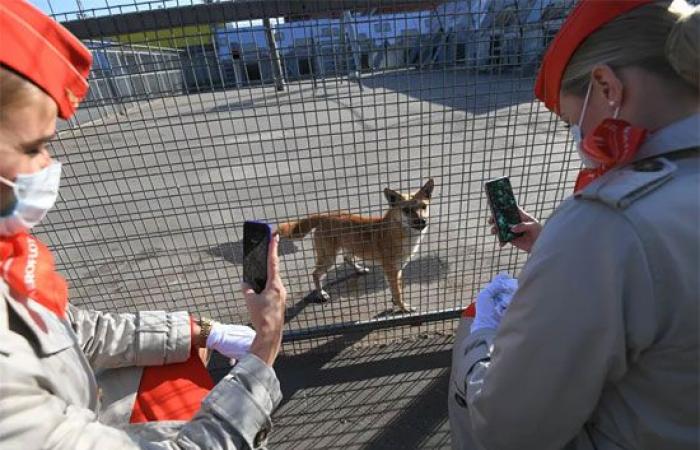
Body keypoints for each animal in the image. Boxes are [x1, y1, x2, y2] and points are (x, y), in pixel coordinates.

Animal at [278, 178, 432, 312]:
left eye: (424, 207)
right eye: (406, 210)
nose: (422, 221)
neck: (400, 232)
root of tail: (326, 215)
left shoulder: (397, 270)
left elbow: (397, 290)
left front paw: (396, 302)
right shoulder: (391, 271)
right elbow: (397, 292)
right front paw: (403, 307)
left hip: (351, 247)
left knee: (346, 258)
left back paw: (359, 269)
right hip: (329, 257)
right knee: (315, 274)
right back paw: (321, 293)